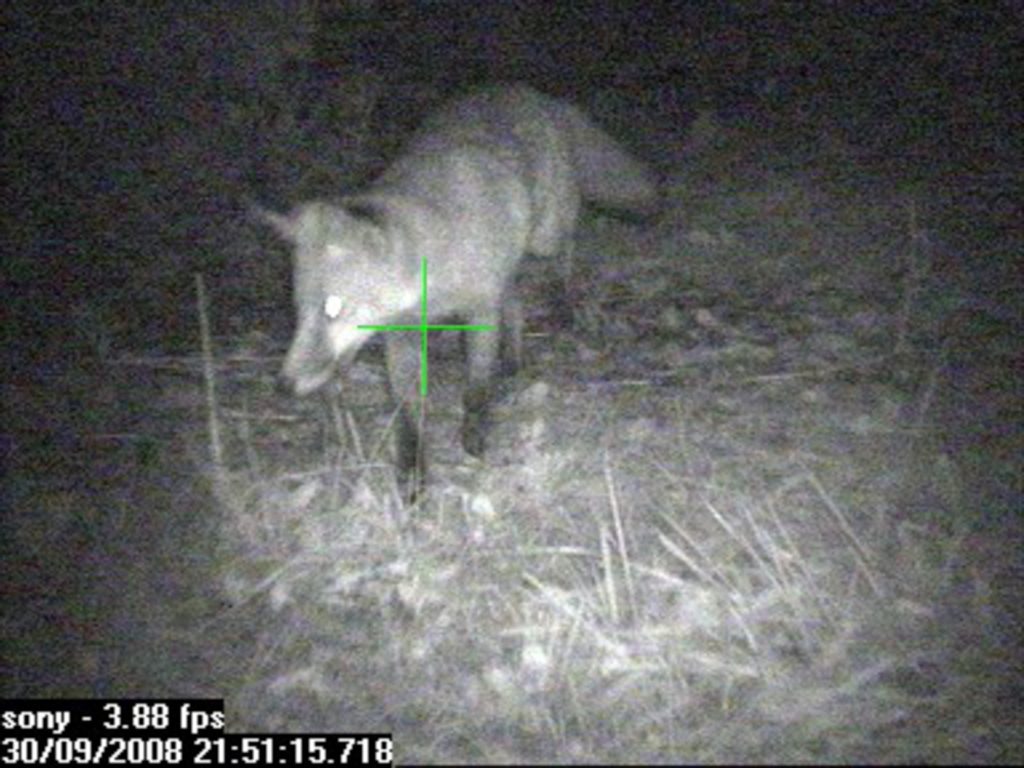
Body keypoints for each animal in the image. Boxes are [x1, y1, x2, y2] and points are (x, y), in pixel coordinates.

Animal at [259, 83, 659, 502]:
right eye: (297, 310)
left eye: (333, 308)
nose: (284, 385)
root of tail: (529, 92)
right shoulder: (402, 336)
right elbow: (409, 416)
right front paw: (413, 480)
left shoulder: (479, 312)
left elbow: (476, 391)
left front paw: (473, 440)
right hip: (510, 266)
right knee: (514, 297)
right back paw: (514, 358)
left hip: (545, 238)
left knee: (565, 249)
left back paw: (570, 303)